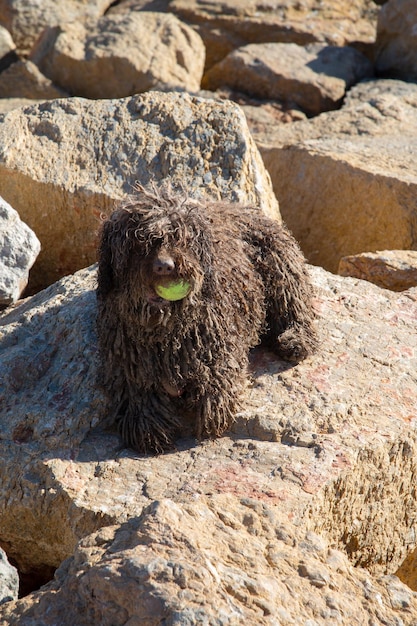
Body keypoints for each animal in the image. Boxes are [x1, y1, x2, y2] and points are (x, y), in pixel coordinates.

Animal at [97, 183, 316, 450]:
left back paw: (295, 339)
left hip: (281, 266)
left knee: (296, 306)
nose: (164, 266)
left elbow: (217, 380)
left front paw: (213, 410)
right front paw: (148, 428)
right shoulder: (128, 364)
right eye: (140, 241)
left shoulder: (219, 349)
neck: (165, 331)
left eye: (180, 238)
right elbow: (138, 393)